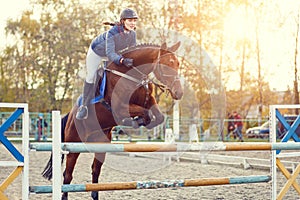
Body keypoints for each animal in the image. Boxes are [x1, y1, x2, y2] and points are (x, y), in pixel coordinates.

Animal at [41, 41, 183, 199]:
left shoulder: (149, 101)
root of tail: (70, 115)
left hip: (101, 145)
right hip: (73, 145)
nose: (179, 93)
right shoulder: (119, 108)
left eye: (177, 63)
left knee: (95, 170)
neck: (132, 75)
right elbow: (144, 113)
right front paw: (135, 121)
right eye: (167, 64)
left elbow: (158, 117)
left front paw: (140, 121)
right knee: (68, 174)